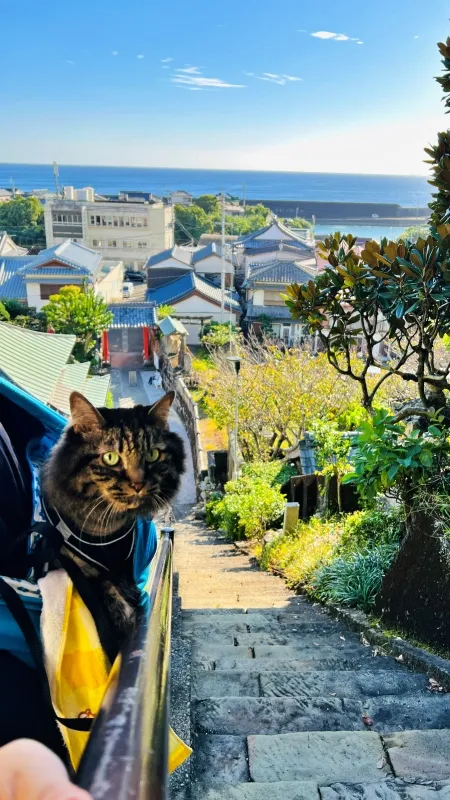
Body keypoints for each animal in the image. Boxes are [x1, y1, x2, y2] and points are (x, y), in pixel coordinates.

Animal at [40, 390, 185, 636]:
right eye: (111, 458)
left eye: (153, 455)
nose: (138, 484)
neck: (102, 526)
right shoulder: (67, 563)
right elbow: (103, 588)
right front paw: (122, 614)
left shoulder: (128, 569)